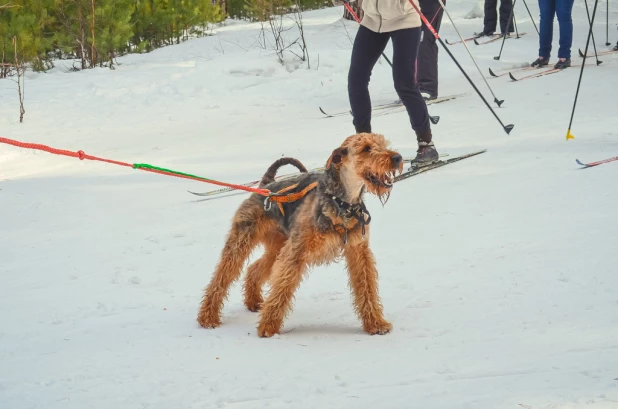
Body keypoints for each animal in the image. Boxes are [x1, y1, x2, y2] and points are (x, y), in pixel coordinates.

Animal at [195, 132, 402, 336]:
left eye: (383, 144)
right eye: (366, 148)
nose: (397, 158)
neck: (342, 203)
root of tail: (266, 185)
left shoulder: (358, 251)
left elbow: (366, 287)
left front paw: (376, 323)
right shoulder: (296, 251)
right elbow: (282, 288)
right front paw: (268, 327)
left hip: (277, 247)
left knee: (254, 269)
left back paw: (253, 301)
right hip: (241, 242)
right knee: (220, 279)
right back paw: (208, 317)